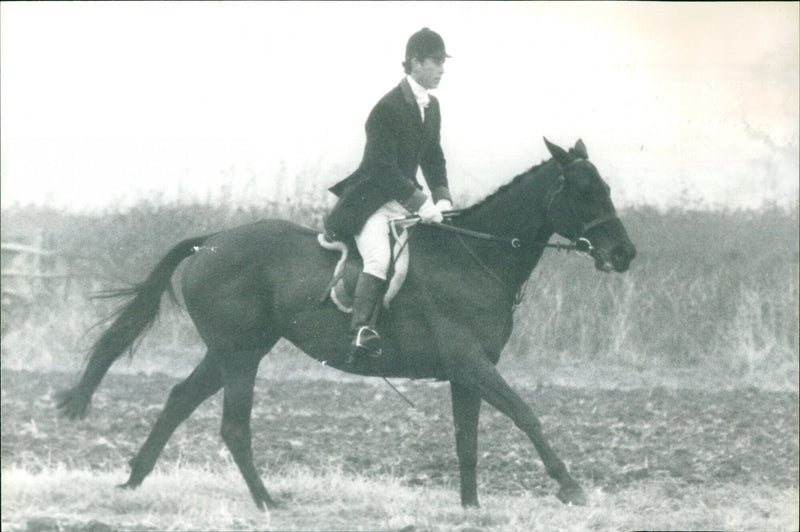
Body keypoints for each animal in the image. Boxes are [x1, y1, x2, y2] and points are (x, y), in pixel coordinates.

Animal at [57, 139, 636, 510]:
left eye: (607, 185)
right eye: (582, 189)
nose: (624, 254)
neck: (475, 256)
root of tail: (212, 241)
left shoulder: (467, 372)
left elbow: (466, 439)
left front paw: (471, 509)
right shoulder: (470, 362)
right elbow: (526, 415)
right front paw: (570, 487)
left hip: (233, 350)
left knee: (180, 399)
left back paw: (134, 482)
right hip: (240, 353)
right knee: (234, 425)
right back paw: (267, 502)